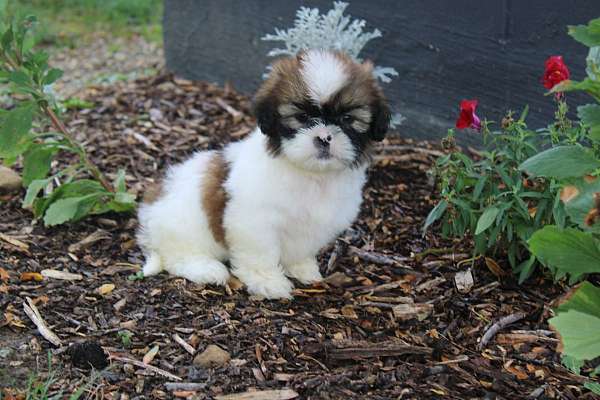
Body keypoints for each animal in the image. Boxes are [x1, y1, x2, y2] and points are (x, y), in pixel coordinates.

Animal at [136, 48, 390, 298]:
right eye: (302, 117)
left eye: (347, 119)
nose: (324, 137)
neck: (312, 175)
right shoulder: (253, 222)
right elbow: (261, 253)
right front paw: (268, 281)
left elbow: (301, 248)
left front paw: (302, 268)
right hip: (182, 227)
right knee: (176, 256)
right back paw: (206, 269)